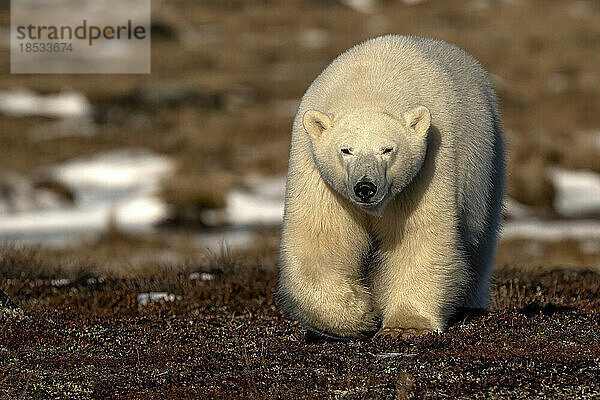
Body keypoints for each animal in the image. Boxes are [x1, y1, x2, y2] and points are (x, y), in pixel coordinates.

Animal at [278, 36, 504, 340]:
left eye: (387, 149)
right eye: (345, 149)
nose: (365, 187)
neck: (369, 89)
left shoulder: (428, 168)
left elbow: (418, 237)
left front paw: (404, 326)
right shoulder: (317, 172)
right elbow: (321, 238)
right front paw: (360, 314)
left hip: (488, 163)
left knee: (481, 241)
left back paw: (472, 304)